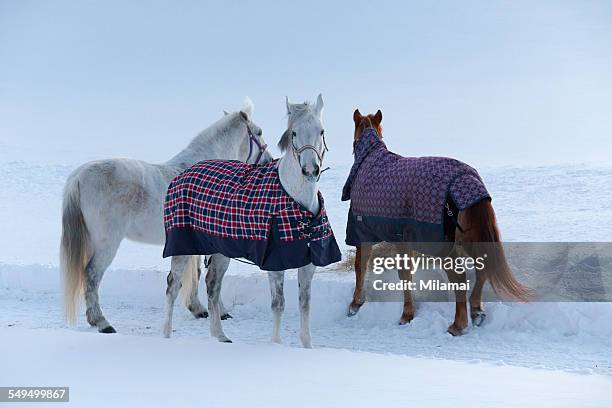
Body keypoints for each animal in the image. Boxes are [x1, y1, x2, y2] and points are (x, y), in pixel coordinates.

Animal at [61, 99, 272, 334]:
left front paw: (198, 309)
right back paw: (102, 323)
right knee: (91, 275)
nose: (269, 161)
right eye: (259, 132)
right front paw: (220, 312)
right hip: (106, 244)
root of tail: (78, 177)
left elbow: (196, 273)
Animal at [161, 95, 326, 348]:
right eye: (294, 133)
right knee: (173, 285)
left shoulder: (308, 263)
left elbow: (304, 304)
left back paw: (219, 335)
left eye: (321, 131)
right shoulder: (275, 263)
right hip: (182, 247)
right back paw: (166, 335)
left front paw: (307, 346)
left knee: (212, 285)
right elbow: (278, 304)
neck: (297, 203)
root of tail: (184, 173)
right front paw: (276, 343)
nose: (310, 170)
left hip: (220, 250)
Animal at [344, 109, 532, 334]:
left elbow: (362, 267)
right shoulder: (404, 240)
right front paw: (407, 312)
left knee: (460, 279)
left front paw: (356, 304)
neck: (370, 161)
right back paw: (476, 310)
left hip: (445, 247)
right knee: (482, 269)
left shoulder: (363, 234)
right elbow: (406, 273)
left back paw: (458, 325)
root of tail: (466, 180)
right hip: (469, 240)